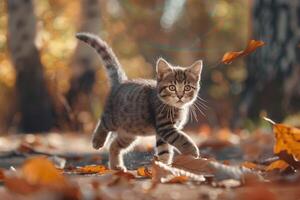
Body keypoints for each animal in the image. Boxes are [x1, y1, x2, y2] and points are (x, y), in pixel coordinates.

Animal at [76, 32, 203, 170]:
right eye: (172, 87)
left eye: (187, 88)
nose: (180, 96)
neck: (175, 108)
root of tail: (120, 83)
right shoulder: (165, 126)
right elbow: (180, 138)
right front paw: (192, 151)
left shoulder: (162, 133)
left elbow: (165, 150)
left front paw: (164, 166)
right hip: (113, 119)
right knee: (103, 122)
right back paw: (97, 141)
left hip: (129, 132)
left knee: (114, 145)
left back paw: (116, 166)